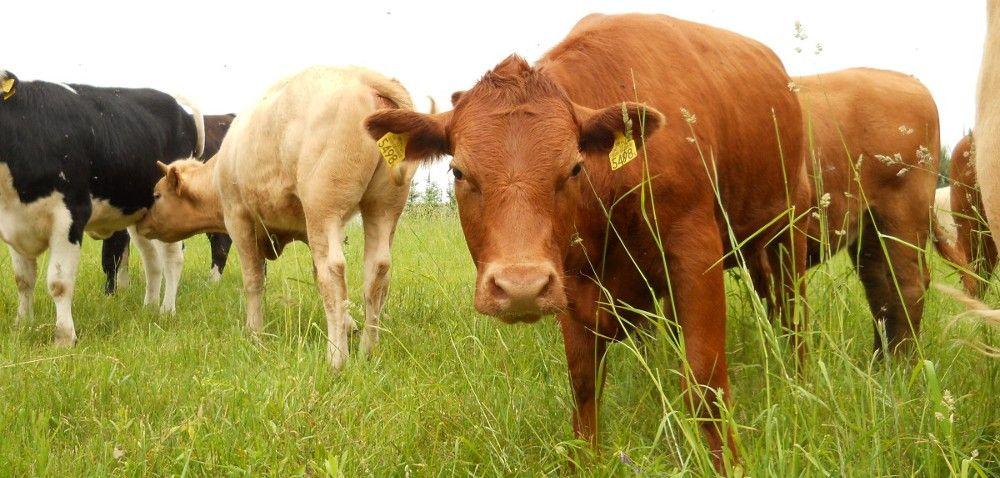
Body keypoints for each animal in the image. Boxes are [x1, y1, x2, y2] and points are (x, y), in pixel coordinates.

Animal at [0, 69, 203, 346]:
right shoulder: (14, 221)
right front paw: (22, 325)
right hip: (142, 214)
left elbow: (59, 283)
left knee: (173, 259)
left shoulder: (71, 215)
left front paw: (64, 338)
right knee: (152, 261)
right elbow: (23, 280)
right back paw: (149, 308)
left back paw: (166, 311)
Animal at [364, 13, 808, 468]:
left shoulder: (696, 252)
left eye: (575, 168)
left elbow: (705, 380)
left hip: (792, 224)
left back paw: (799, 377)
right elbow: (583, 380)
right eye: (458, 172)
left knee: (794, 313)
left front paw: (728, 463)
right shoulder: (570, 280)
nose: (521, 288)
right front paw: (586, 458)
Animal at [752, 69, 940, 352]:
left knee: (908, 285)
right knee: (880, 289)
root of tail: (906, 78)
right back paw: (880, 358)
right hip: (870, 230)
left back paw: (902, 361)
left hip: (904, 214)